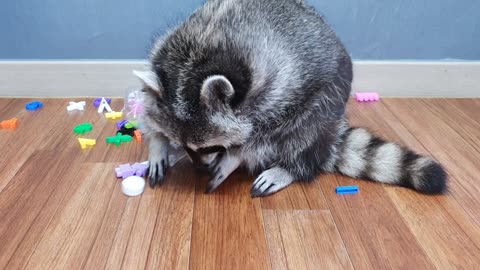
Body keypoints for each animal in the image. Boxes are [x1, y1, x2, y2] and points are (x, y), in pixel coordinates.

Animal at [134, 0, 446, 197]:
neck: (200, 58)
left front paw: (234, 156)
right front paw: (159, 143)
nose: (200, 166)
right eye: (186, 143)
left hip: (330, 97)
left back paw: (292, 167)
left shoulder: (279, 88)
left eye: (210, 146)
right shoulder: (164, 52)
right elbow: (149, 108)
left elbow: (266, 133)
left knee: (307, 131)